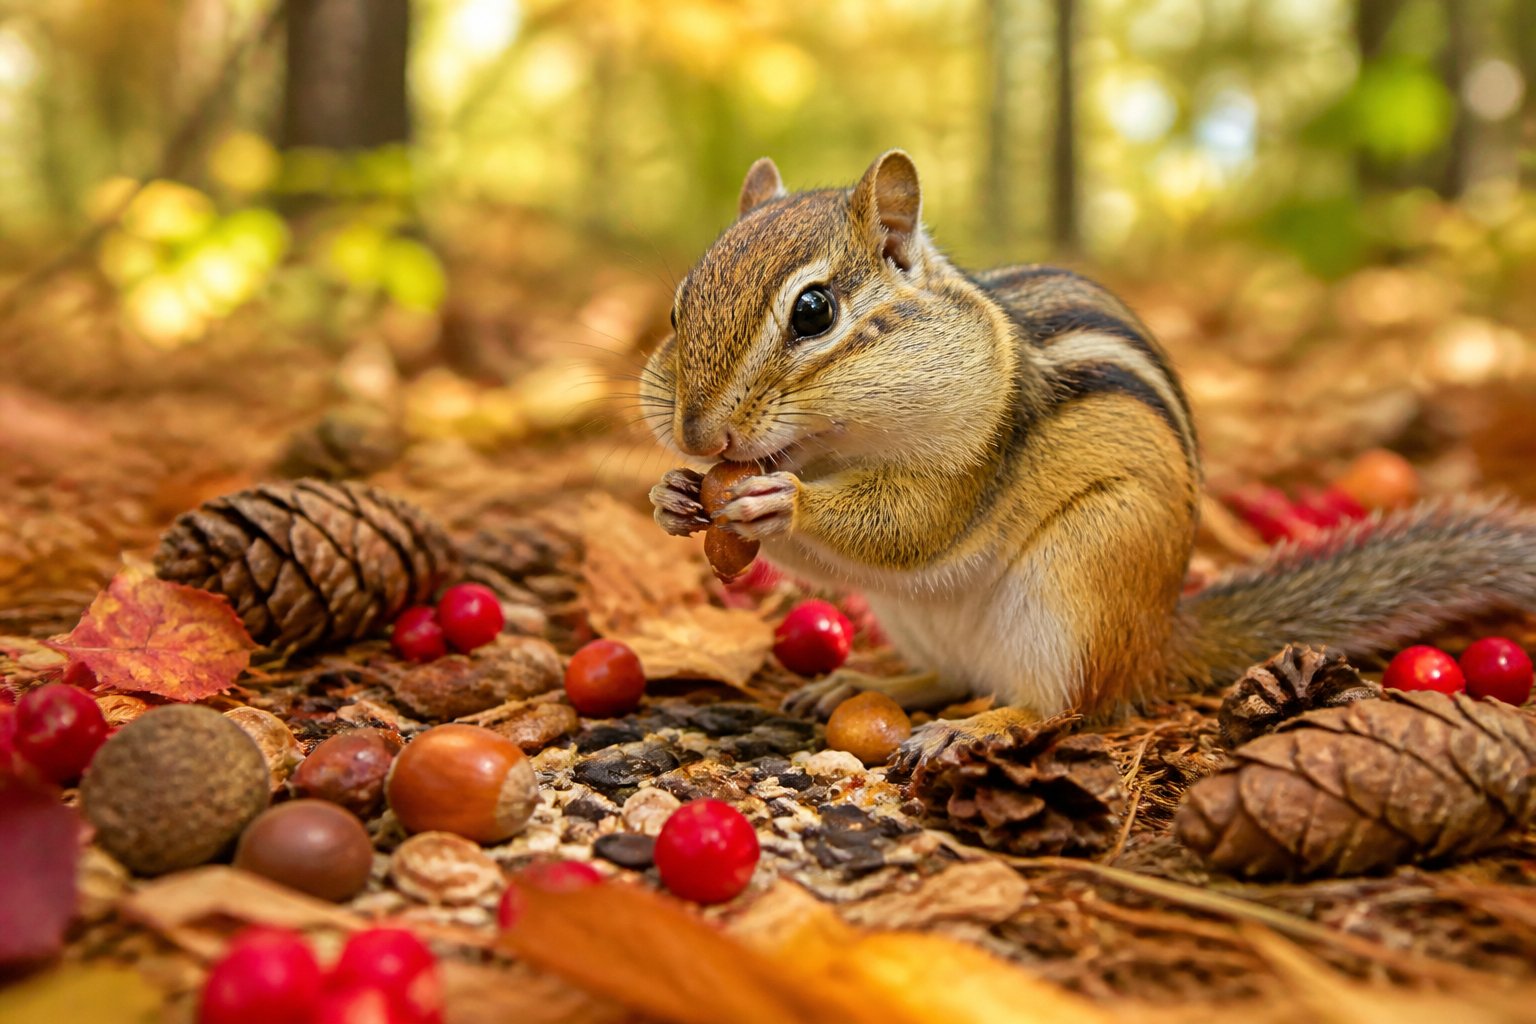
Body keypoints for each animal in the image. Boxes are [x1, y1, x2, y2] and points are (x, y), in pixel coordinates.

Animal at [641, 150, 1536, 762]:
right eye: (679, 307)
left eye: (815, 311)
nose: (700, 436)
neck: (835, 448)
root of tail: (1154, 641)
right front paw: (673, 496)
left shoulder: (977, 453)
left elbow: (912, 526)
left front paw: (779, 502)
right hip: (924, 619)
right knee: (952, 675)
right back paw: (873, 682)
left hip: (1082, 577)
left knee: (1060, 706)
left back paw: (972, 730)